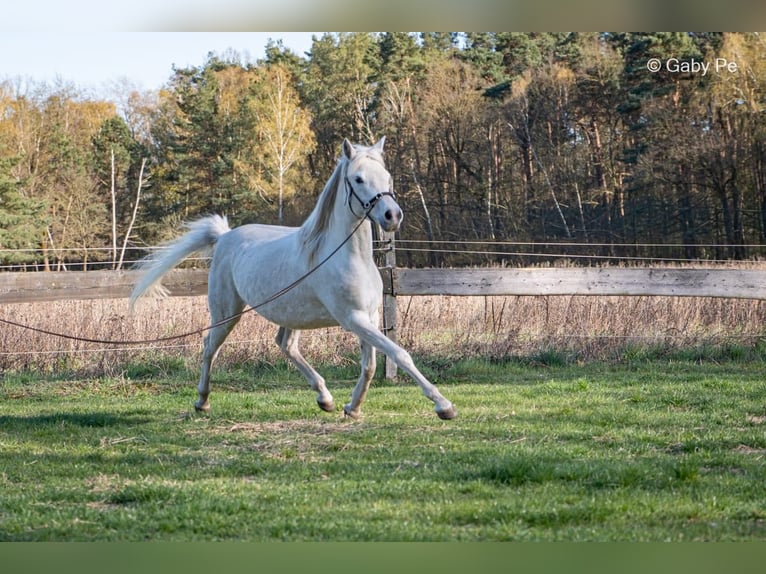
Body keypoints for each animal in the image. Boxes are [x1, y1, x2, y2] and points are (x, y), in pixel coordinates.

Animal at [130, 137, 456, 420]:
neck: (348, 257)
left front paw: (352, 408)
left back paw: (325, 398)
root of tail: (224, 237)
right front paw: (444, 405)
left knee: (285, 345)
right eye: (359, 179)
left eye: (386, 176)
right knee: (211, 345)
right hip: (226, 310)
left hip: (290, 314)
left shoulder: (370, 317)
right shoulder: (353, 318)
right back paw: (202, 401)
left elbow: (370, 365)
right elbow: (399, 354)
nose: (392, 216)